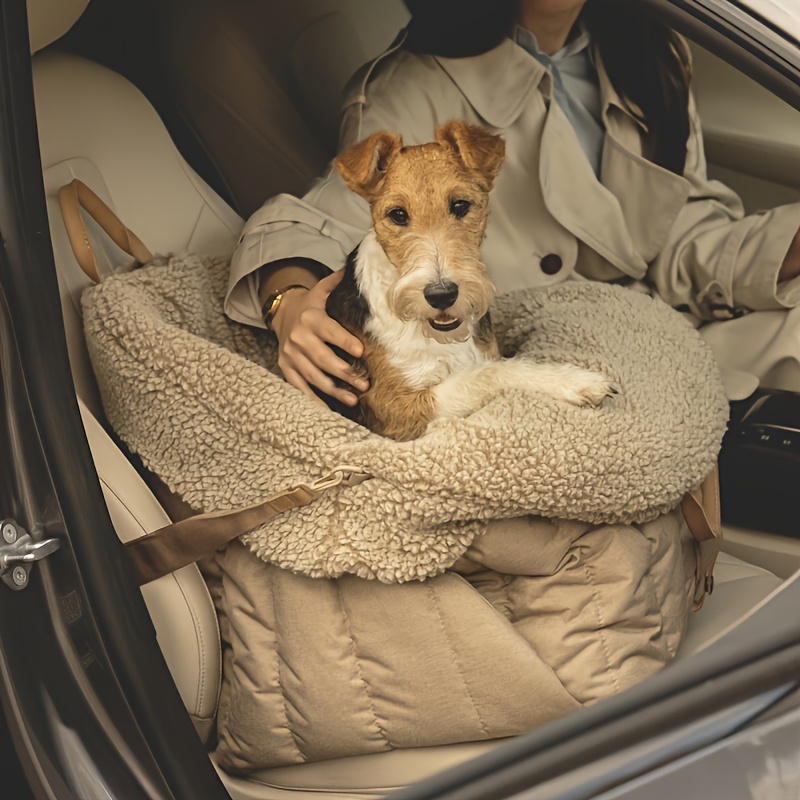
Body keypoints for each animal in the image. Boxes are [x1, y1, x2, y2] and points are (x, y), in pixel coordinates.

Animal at [324, 122, 612, 440]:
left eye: (460, 205)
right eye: (397, 214)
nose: (441, 295)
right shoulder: (397, 410)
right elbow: (490, 374)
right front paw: (575, 381)